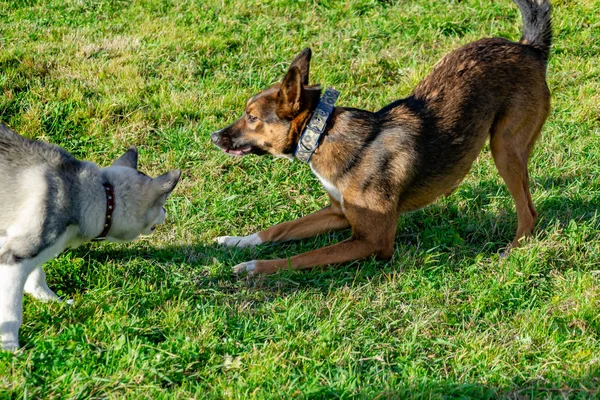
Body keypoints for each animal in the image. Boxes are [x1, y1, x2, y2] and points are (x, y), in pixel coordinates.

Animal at [0, 122, 180, 350]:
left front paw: (56, 302)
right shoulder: (15, 257)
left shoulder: (19, 248)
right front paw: (11, 350)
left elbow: (37, 278)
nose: (166, 213)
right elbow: (11, 313)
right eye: (162, 203)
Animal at [212, 0, 552, 276]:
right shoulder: (339, 213)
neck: (324, 135)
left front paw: (255, 267)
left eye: (252, 117)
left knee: (529, 213)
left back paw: (512, 251)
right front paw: (237, 240)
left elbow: (303, 257)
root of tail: (528, 47)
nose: (214, 137)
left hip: (504, 148)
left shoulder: (374, 240)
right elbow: (279, 229)